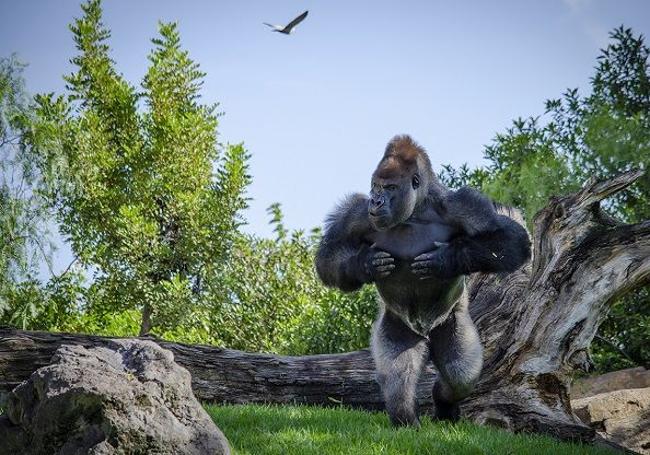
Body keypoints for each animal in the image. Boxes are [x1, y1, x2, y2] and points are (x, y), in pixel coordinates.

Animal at [316, 135, 532, 428]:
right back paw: (406, 420)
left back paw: (444, 404)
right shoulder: (356, 214)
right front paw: (364, 264)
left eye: (390, 187)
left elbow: (510, 239)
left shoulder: (465, 204)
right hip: (397, 324)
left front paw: (447, 259)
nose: (376, 202)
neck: (415, 212)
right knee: (399, 375)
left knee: (459, 374)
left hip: (453, 321)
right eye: (375, 187)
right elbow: (329, 255)